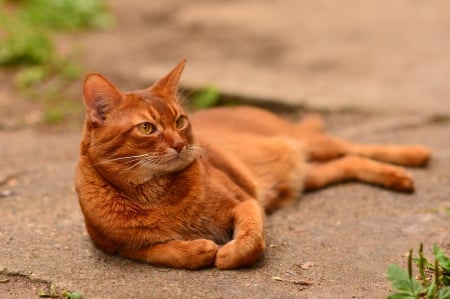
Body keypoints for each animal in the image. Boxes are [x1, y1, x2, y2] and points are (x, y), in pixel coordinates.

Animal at [75, 58, 430, 270]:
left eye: (180, 121)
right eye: (147, 128)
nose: (180, 144)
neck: (156, 195)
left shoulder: (245, 201)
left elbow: (250, 241)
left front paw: (226, 255)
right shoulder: (119, 247)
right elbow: (163, 251)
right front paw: (198, 250)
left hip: (306, 141)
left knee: (355, 147)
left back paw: (412, 158)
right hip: (307, 174)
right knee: (348, 161)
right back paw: (396, 176)